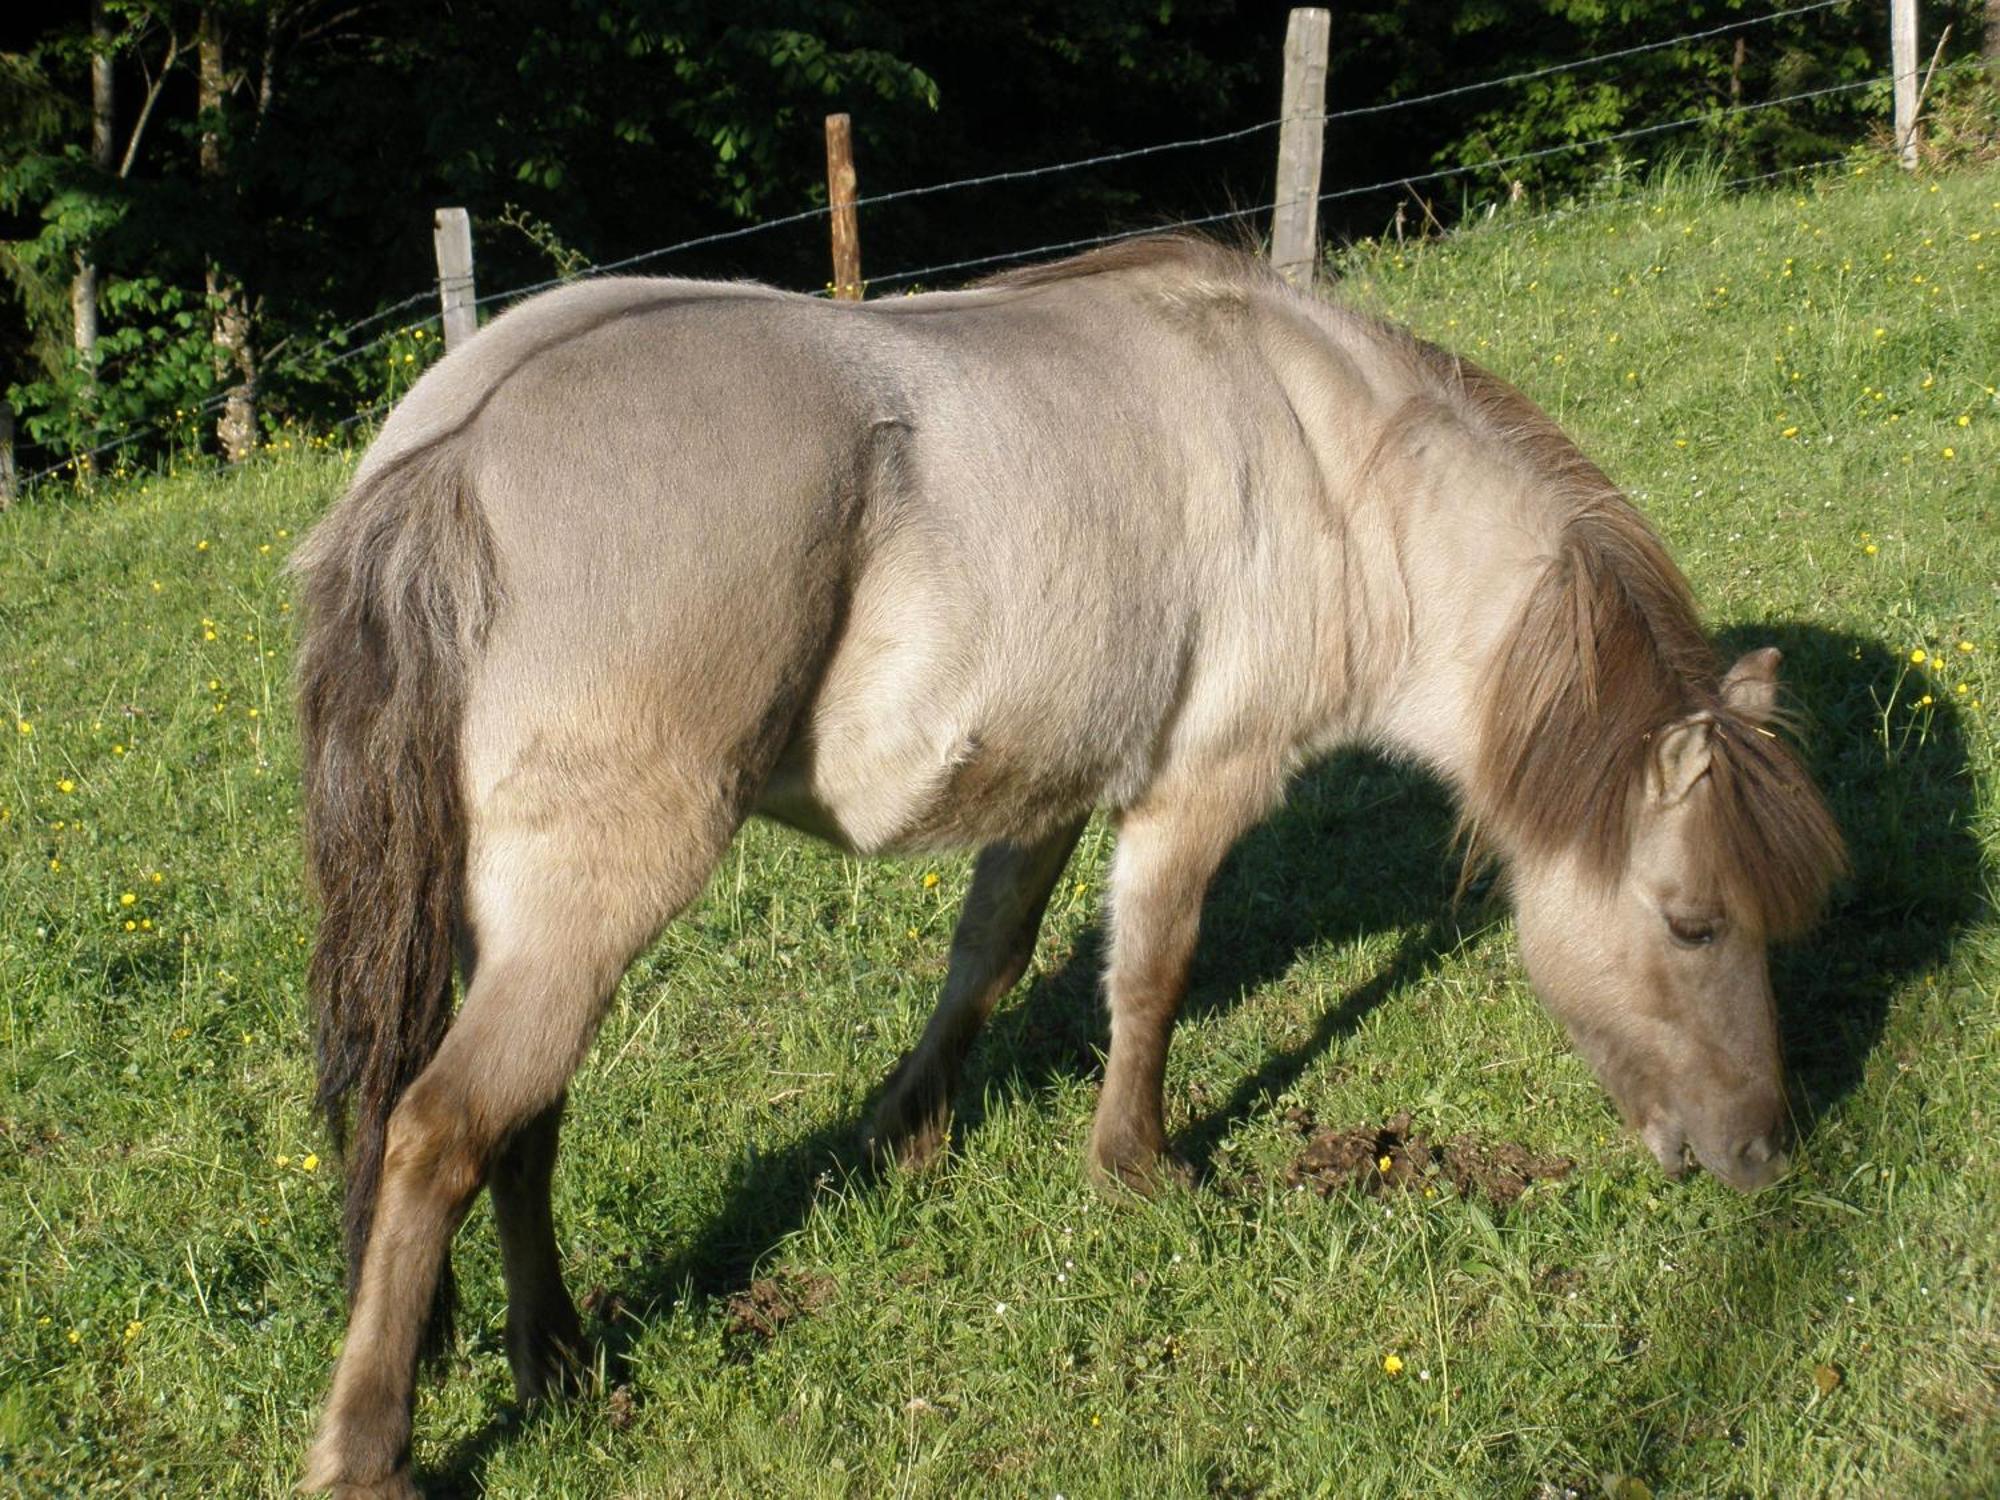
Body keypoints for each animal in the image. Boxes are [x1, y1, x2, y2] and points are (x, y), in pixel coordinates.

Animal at [292, 241, 1840, 1496]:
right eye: (1691, 924)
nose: (1763, 1153)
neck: (1338, 469)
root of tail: (460, 443)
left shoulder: (1045, 791)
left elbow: (987, 961)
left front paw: (903, 1137)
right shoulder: (1197, 784)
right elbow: (1149, 974)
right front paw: (1133, 1167)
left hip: (523, 914)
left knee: (523, 1120)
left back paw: (555, 1356)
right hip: (596, 897)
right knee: (442, 1128)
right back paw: (370, 1450)